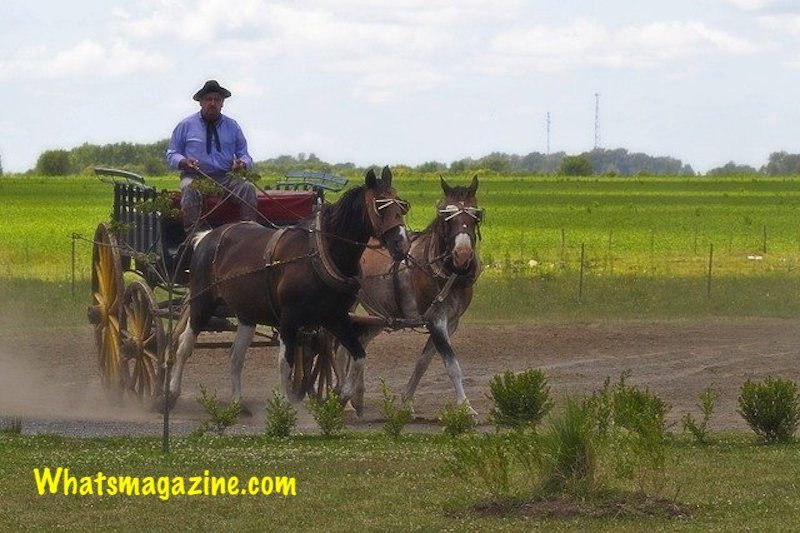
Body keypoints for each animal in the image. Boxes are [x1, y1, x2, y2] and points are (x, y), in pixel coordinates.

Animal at [166, 166, 410, 412]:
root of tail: (206, 236)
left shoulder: (335, 317)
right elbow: (285, 362)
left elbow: (358, 356)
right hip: (202, 303)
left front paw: (342, 396)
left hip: (246, 313)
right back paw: (171, 393)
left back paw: (238, 403)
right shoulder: (289, 317)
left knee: (235, 356)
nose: (402, 244)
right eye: (379, 206)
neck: (320, 254)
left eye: (401, 205)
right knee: (184, 346)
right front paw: (284, 405)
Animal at [336, 176, 482, 416]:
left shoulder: (451, 322)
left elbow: (423, 362)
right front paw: (466, 406)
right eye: (445, 216)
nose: (462, 255)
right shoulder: (436, 319)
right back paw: (344, 398)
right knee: (341, 347)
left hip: (379, 314)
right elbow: (452, 364)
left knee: (357, 342)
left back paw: (355, 397)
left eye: (476, 215)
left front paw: (406, 402)